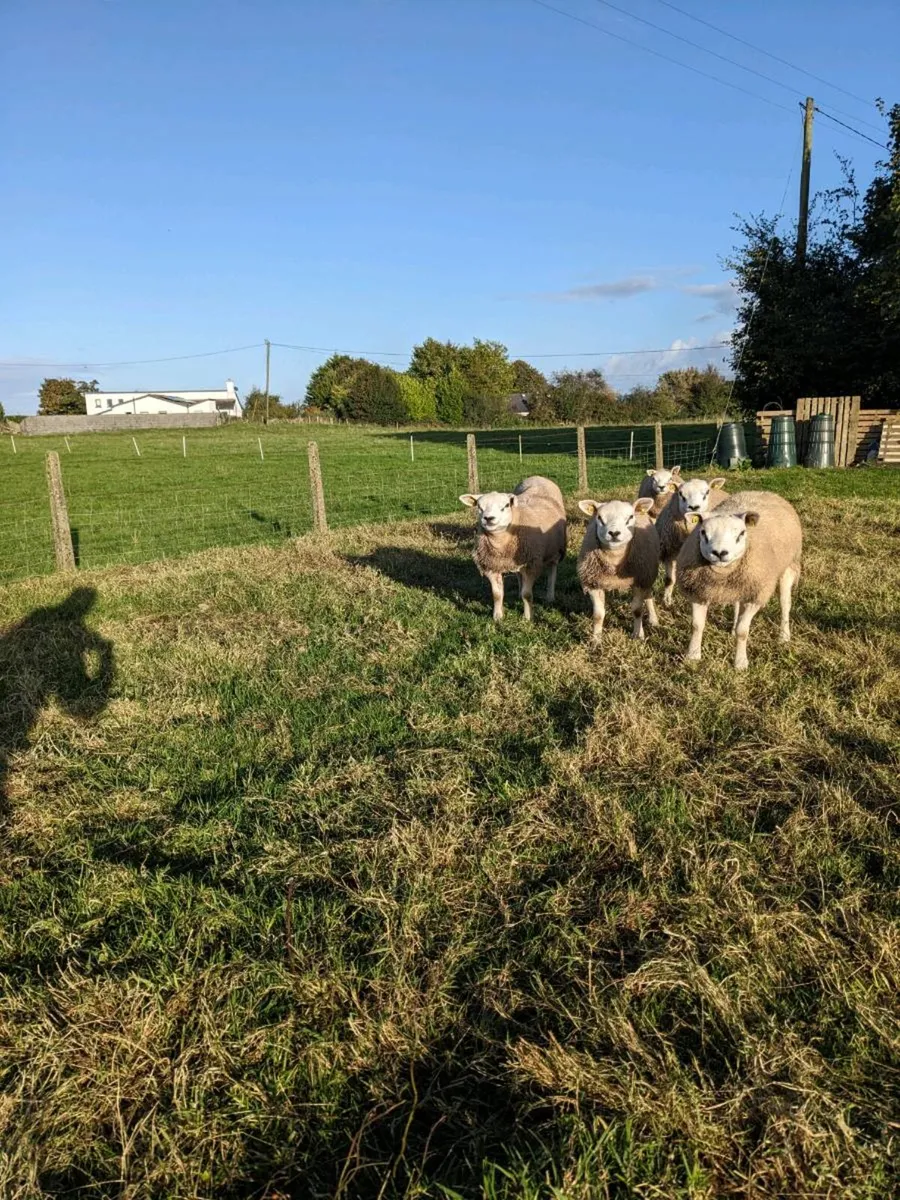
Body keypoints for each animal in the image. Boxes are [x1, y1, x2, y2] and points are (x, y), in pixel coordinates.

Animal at [459, 475, 567, 622]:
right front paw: (498, 617)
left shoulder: (531, 564)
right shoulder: (492, 566)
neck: (500, 544)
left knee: (552, 570)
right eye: (479, 507)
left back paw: (550, 596)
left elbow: (527, 594)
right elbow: (497, 594)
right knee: (519, 575)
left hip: (555, 550)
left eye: (505, 506)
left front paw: (528, 617)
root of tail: (538, 477)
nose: (488, 518)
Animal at [576, 497, 660, 641]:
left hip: (647, 575)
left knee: (648, 595)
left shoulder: (640, 580)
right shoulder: (593, 584)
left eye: (630, 517)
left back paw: (653, 620)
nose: (614, 533)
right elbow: (598, 615)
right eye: (599, 517)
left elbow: (637, 610)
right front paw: (596, 640)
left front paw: (637, 635)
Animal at [656, 475, 728, 607]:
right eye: (680, 493)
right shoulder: (670, 554)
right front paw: (667, 601)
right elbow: (669, 580)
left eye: (707, 492)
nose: (694, 507)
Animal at [676, 490, 802, 670]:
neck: (722, 575)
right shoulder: (698, 591)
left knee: (785, 603)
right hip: (739, 585)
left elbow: (743, 632)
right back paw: (733, 627)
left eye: (741, 533)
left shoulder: (754, 596)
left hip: (788, 566)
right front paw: (693, 655)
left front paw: (740, 663)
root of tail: (762, 491)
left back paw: (784, 636)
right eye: (703, 532)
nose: (719, 553)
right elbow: (696, 625)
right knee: (736, 602)